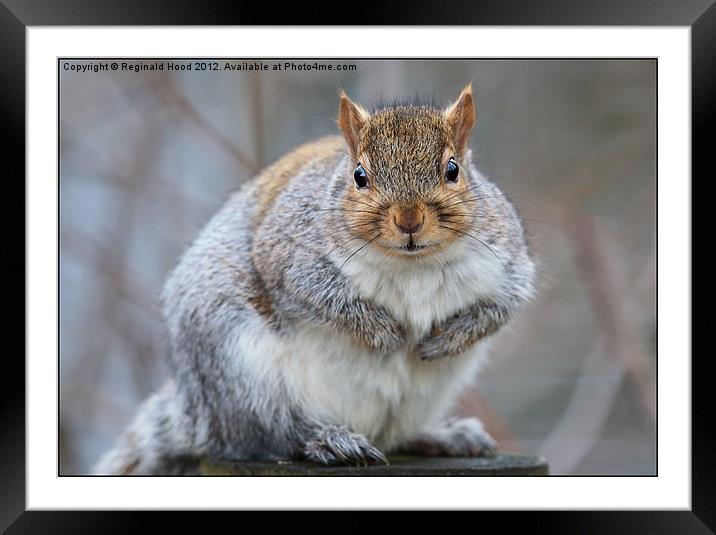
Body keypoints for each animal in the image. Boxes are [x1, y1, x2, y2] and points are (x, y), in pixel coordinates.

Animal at [93, 85, 532, 478]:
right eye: (359, 176)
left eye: (453, 170)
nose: (409, 220)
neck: (412, 263)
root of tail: (200, 415)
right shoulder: (287, 254)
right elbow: (318, 295)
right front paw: (383, 332)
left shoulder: (509, 259)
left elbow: (503, 305)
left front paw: (448, 338)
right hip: (243, 368)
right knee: (274, 433)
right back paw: (330, 440)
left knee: (395, 436)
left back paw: (443, 436)